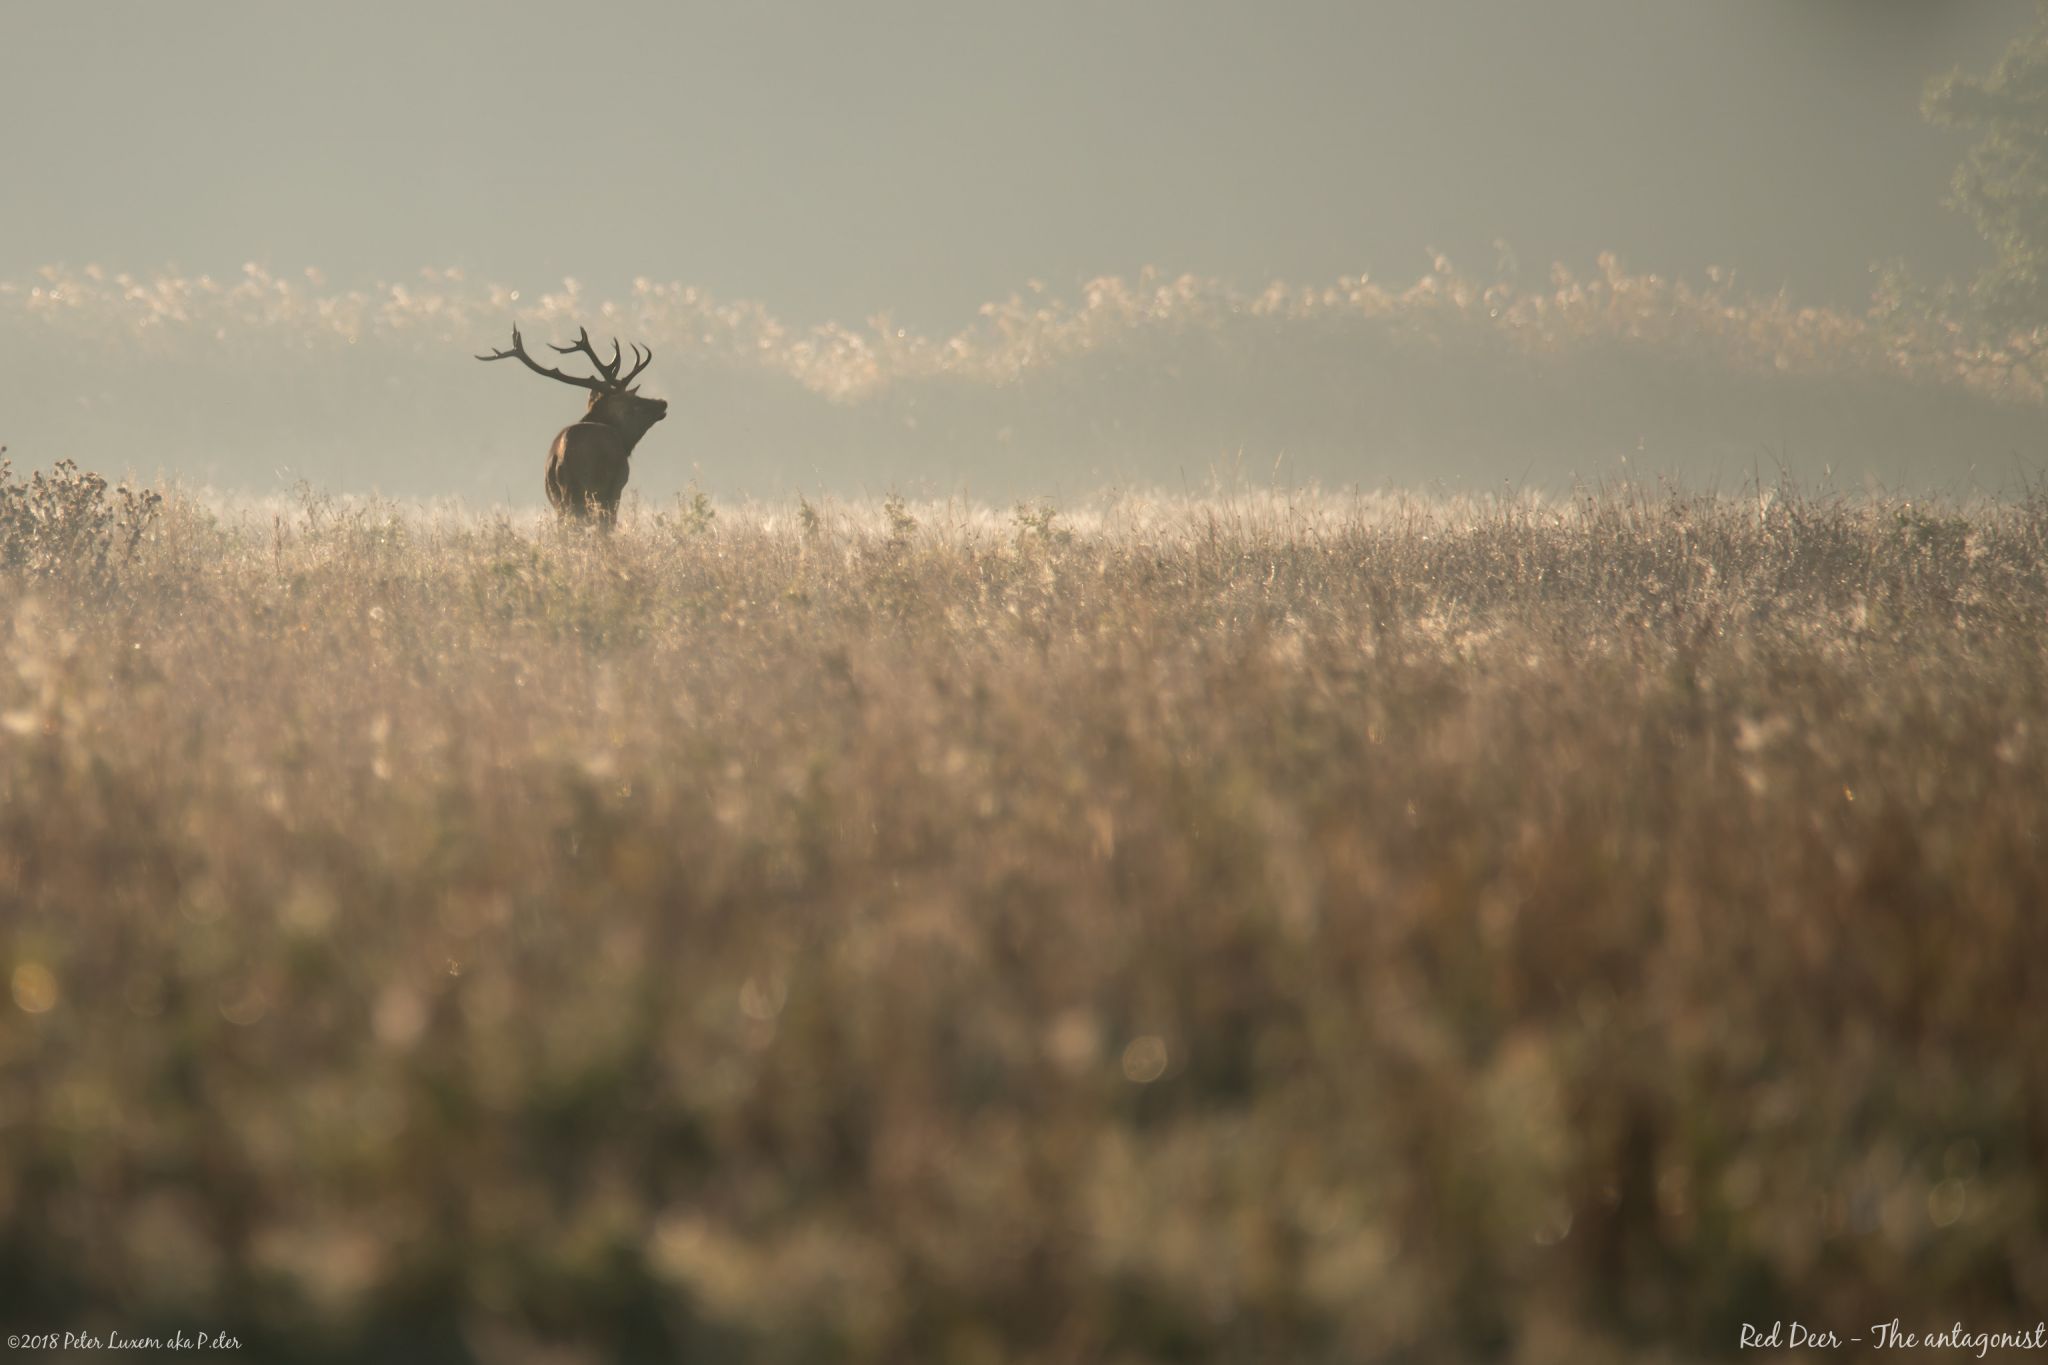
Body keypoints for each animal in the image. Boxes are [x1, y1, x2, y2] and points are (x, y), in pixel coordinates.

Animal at [476, 326, 668, 526]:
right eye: (634, 401)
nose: (662, 403)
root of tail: (562, 457)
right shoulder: (617, 487)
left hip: (560, 498)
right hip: (588, 490)